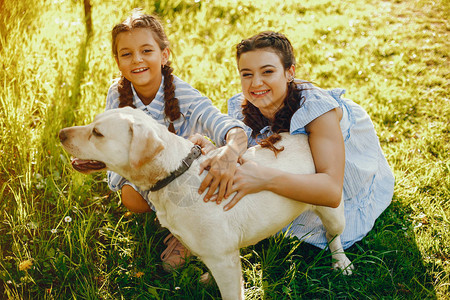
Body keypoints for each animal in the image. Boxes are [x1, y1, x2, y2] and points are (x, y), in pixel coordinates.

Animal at [59, 106, 354, 298]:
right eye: (94, 123)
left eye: (98, 133)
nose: (61, 133)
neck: (174, 173)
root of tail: (305, 136)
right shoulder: (218, 255)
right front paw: (208, 279)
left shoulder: (223, 258)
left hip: (333, 210)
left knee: (333, 237)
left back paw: (342, 264)